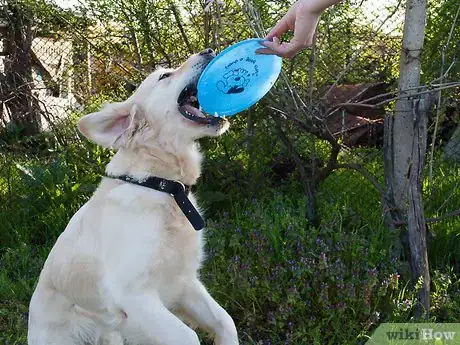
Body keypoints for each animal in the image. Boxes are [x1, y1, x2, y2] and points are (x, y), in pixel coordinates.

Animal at [27, 48, 239, 344]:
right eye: (164, 76)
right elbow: (189, 337)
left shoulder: (184, 283)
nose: (208, 51)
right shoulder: (135, 296)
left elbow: (226, 321)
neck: (161, 185)